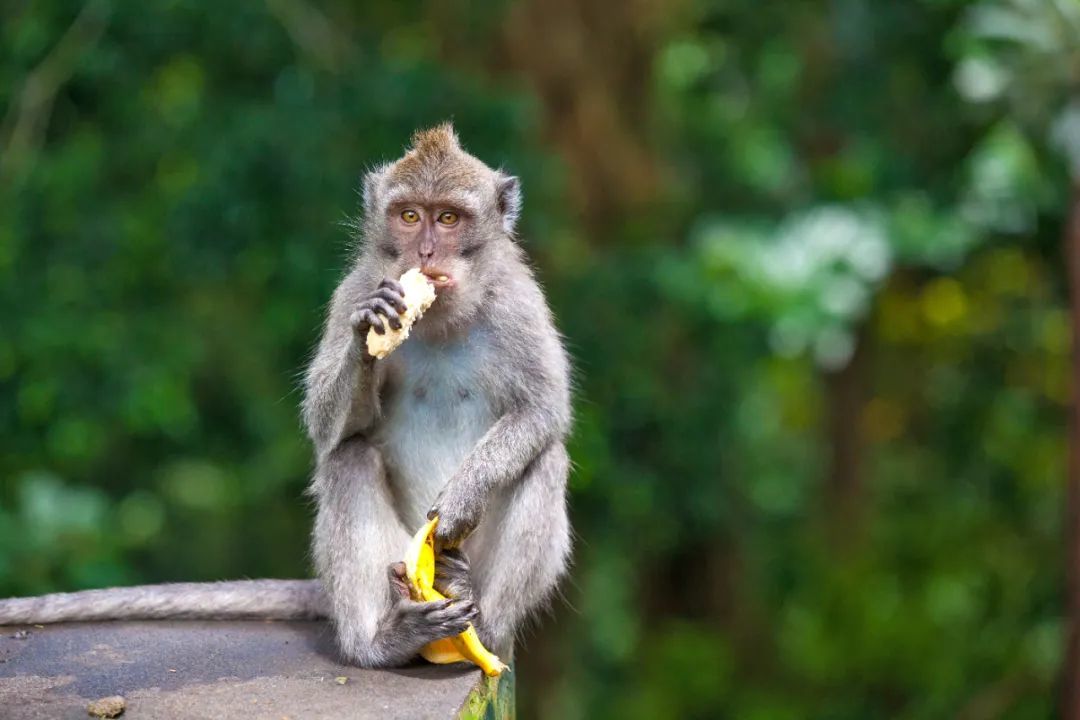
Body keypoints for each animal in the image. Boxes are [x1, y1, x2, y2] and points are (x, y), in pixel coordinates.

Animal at [0, 125, 574, 669]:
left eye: (449, 218)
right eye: (410, 216)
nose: (425, 252)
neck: (441, 318)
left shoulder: (518, 302)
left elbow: (542, 412)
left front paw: (461, 497)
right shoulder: (356, 286)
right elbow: (331, 428)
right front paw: (367, 335)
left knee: (545, 461)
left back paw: (482, 616)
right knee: (348, 459)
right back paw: (381, 642)